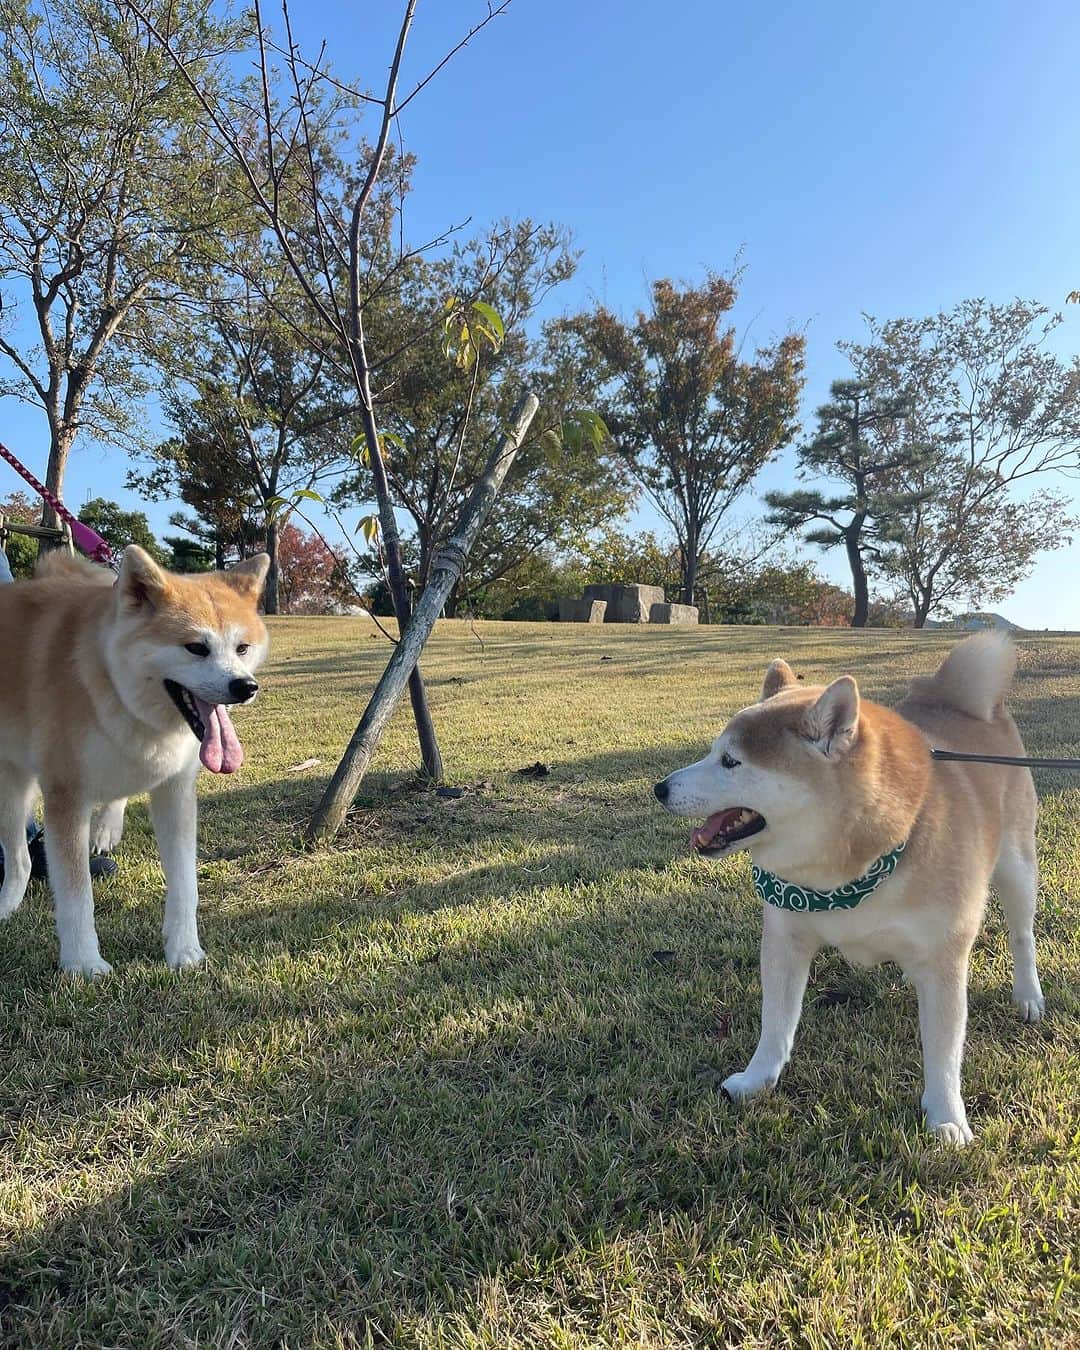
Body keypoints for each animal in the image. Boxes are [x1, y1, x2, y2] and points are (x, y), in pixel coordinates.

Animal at [0, 542, 268, 977]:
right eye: (196, 648)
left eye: (241, 648)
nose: (245, 686)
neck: (110, 684)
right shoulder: (65, 796)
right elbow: (76, 896)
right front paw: (83, 963)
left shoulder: (175, 791)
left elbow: (185, 885)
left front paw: (184, 949)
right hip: (9, 793)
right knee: (20, 860)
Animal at [653, 637, 1042, 1144]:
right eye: (714, 752)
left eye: (730, 762)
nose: (660, 788)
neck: (846, 875)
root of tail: (961, 701)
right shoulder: (786, 938)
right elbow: (775, 1023)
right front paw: (758, 1080)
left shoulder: (944, 959)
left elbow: (943, 1052)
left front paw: (946, 1116)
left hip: (1017, 867)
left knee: (1022, 935)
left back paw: (1029, 995)